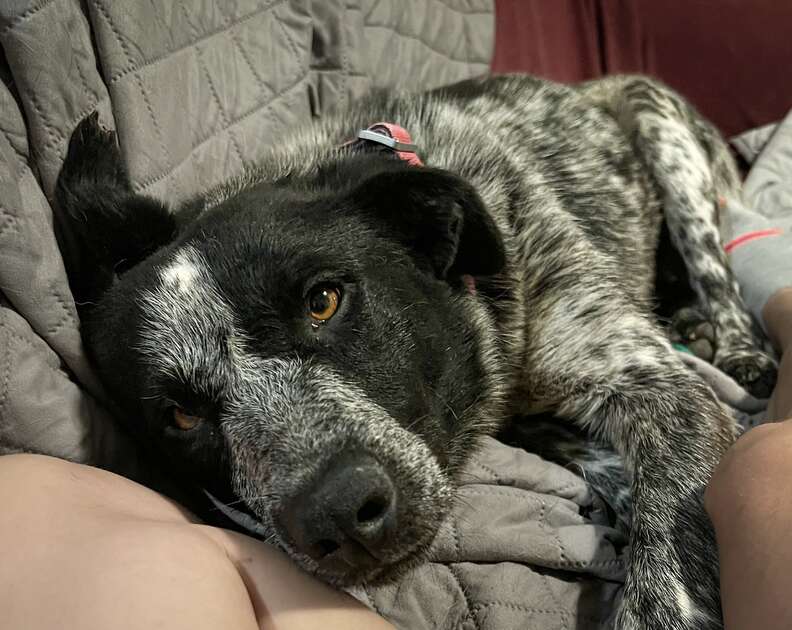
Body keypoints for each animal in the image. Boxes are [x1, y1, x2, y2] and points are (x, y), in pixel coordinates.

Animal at [57, 75, 780, 630]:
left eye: (324, 299)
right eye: (180, 416)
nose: (339, 515)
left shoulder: (660, 387)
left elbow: (667, 541)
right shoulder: (525, 413)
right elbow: (599, 459)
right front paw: (619, 493)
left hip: (665, 137)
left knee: (717, 272)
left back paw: (735, 341)